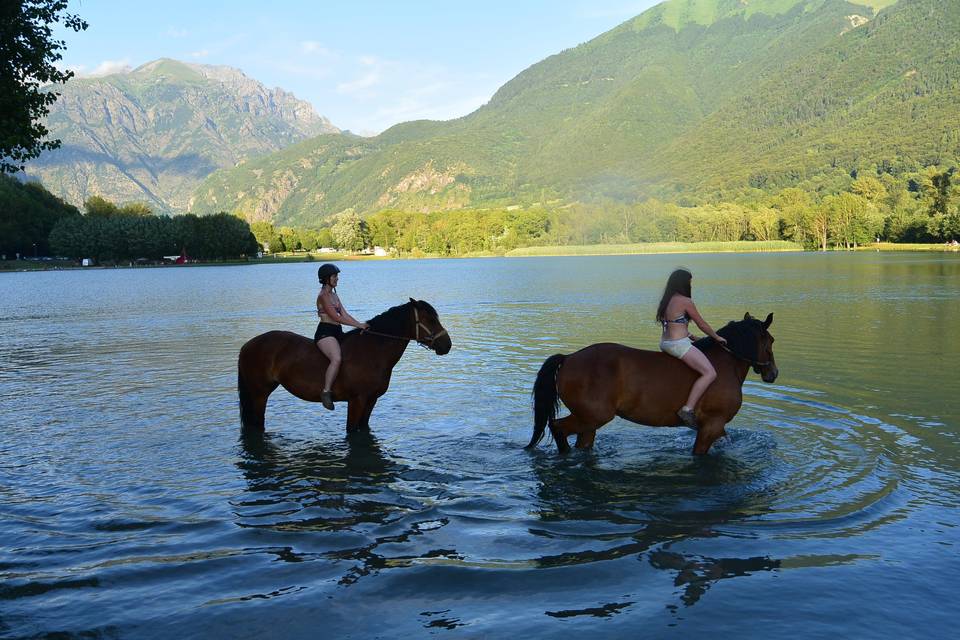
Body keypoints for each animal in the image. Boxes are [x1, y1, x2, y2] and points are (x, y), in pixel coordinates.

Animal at [238, 300, 452, 436]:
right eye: (430, 320)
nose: (447, 344)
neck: (373, 351)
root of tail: (248, 345)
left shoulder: (371, 400)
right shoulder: (357, 400)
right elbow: (351, 431)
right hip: (259, 395)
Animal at [524, 312, 780, 452]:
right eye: (771, 341)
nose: (773, 373)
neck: (724, 362)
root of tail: (568, 358)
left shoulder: (715, 427)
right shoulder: (711, 425)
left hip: (588, 423)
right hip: (592, 417)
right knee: (557, 427)